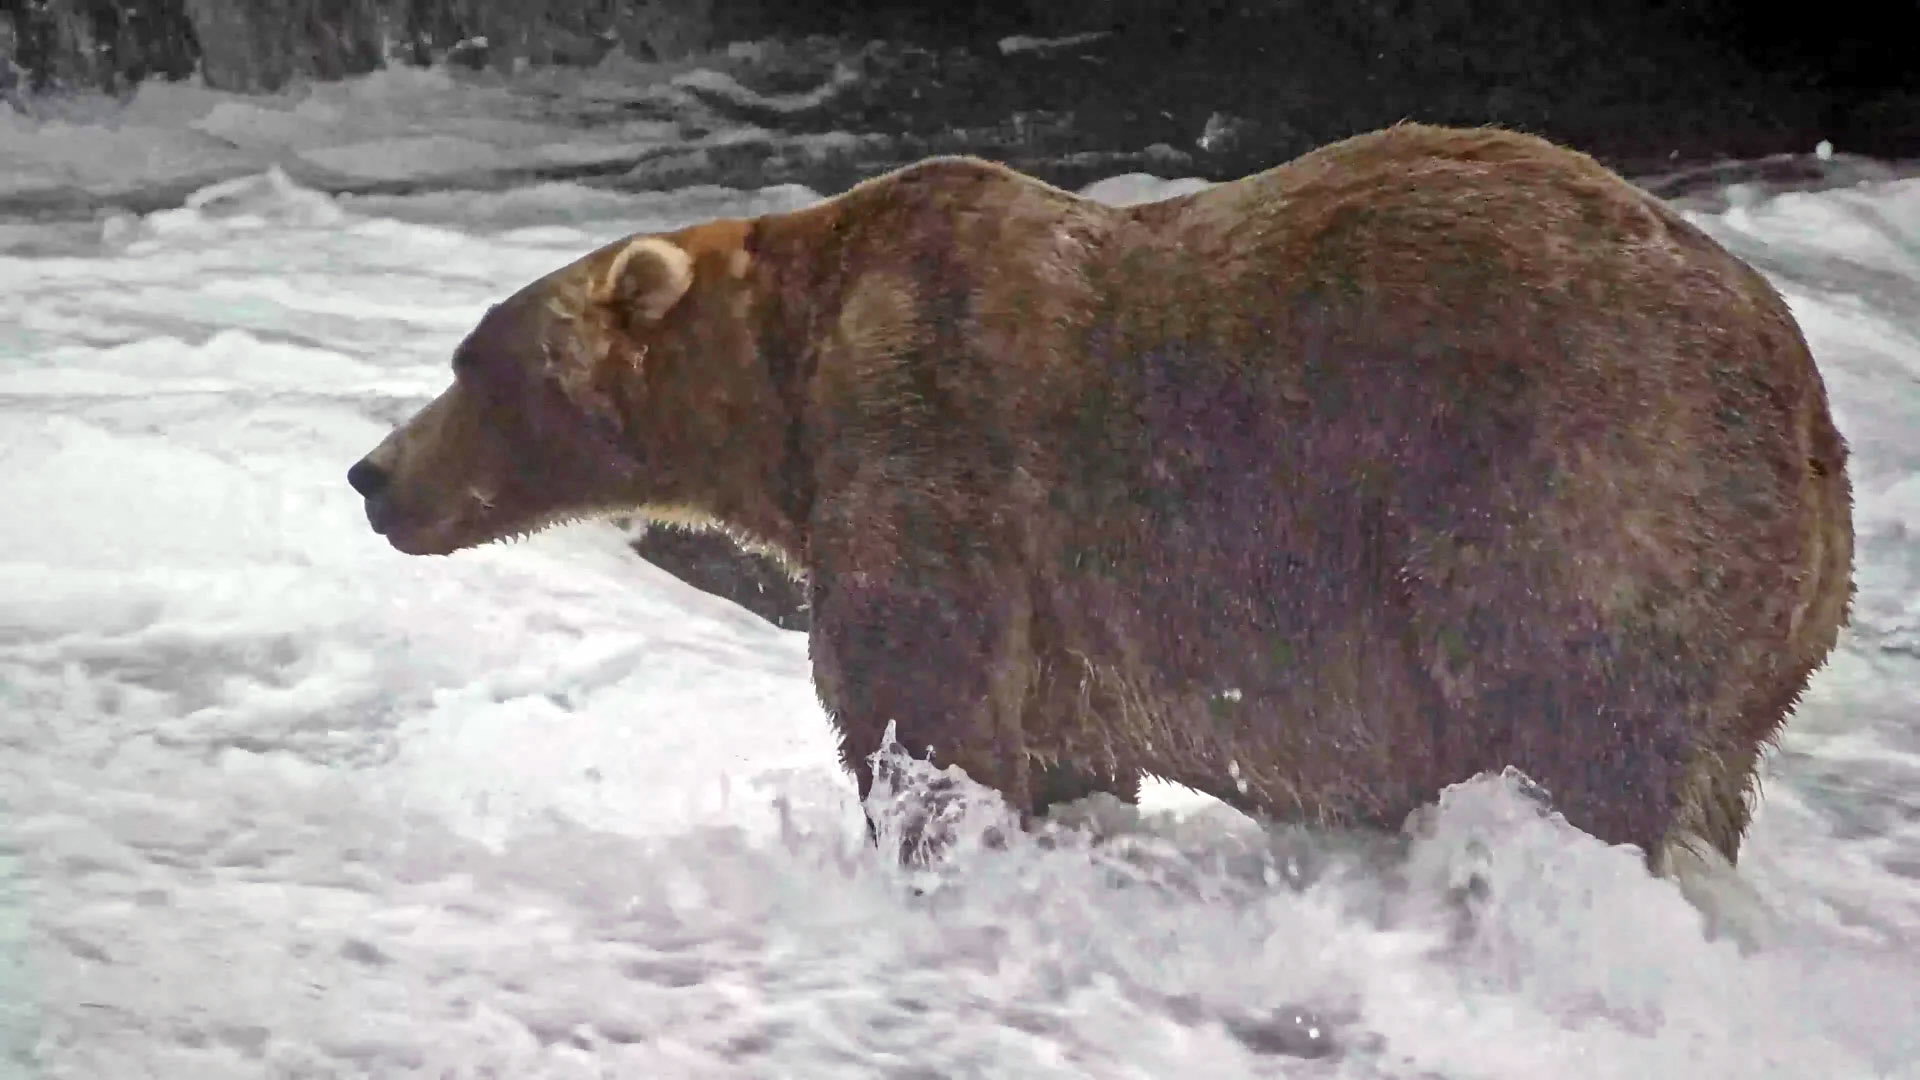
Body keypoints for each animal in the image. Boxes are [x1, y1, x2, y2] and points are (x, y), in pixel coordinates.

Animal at [346, 122, 1853, 869]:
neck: (787, 386)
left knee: (1572, 724)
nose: (371, 475)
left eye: (473, 362)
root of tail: (1811, 412)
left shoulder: (933, 437)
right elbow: (1062, 744)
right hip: (1763, 629)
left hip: (1576, 488)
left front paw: (927, 839)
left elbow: (920, 703)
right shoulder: (1066, 616)